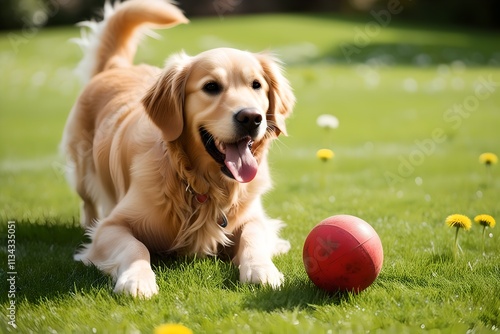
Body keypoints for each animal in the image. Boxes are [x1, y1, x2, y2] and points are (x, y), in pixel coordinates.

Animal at [64, 0, 294, 298]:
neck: (202, 185)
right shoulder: (111, 226)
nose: (251, 118)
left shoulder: (256, 218)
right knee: (88, 202)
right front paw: (137, 278)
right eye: (211, 86)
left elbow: (253, 237)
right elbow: (135, 246)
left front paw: (263, 270)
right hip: (82, 170)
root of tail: (116, 67)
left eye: (257, 85)